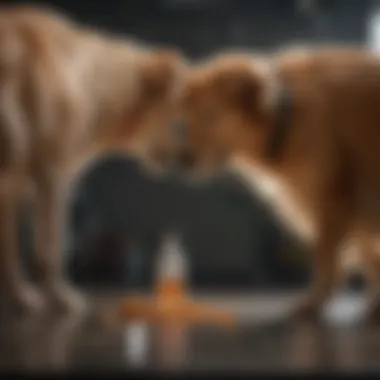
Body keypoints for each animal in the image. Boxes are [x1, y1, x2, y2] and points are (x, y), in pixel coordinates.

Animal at [0, 5, 187, 314]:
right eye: (181, 121)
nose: (187, 160)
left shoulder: (12, 190)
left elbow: (11, 252)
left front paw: (19, 297)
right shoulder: (51, 179)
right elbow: (52, 247)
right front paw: (59, 297)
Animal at [180, 46, 380, 320]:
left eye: (211, 115)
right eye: (188, 120)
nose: (182, 159)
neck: (287, 116)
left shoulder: (337, 201)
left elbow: (329, 259)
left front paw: (315, 302)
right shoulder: (349, 204)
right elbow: (366, 255)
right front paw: (374, 303)